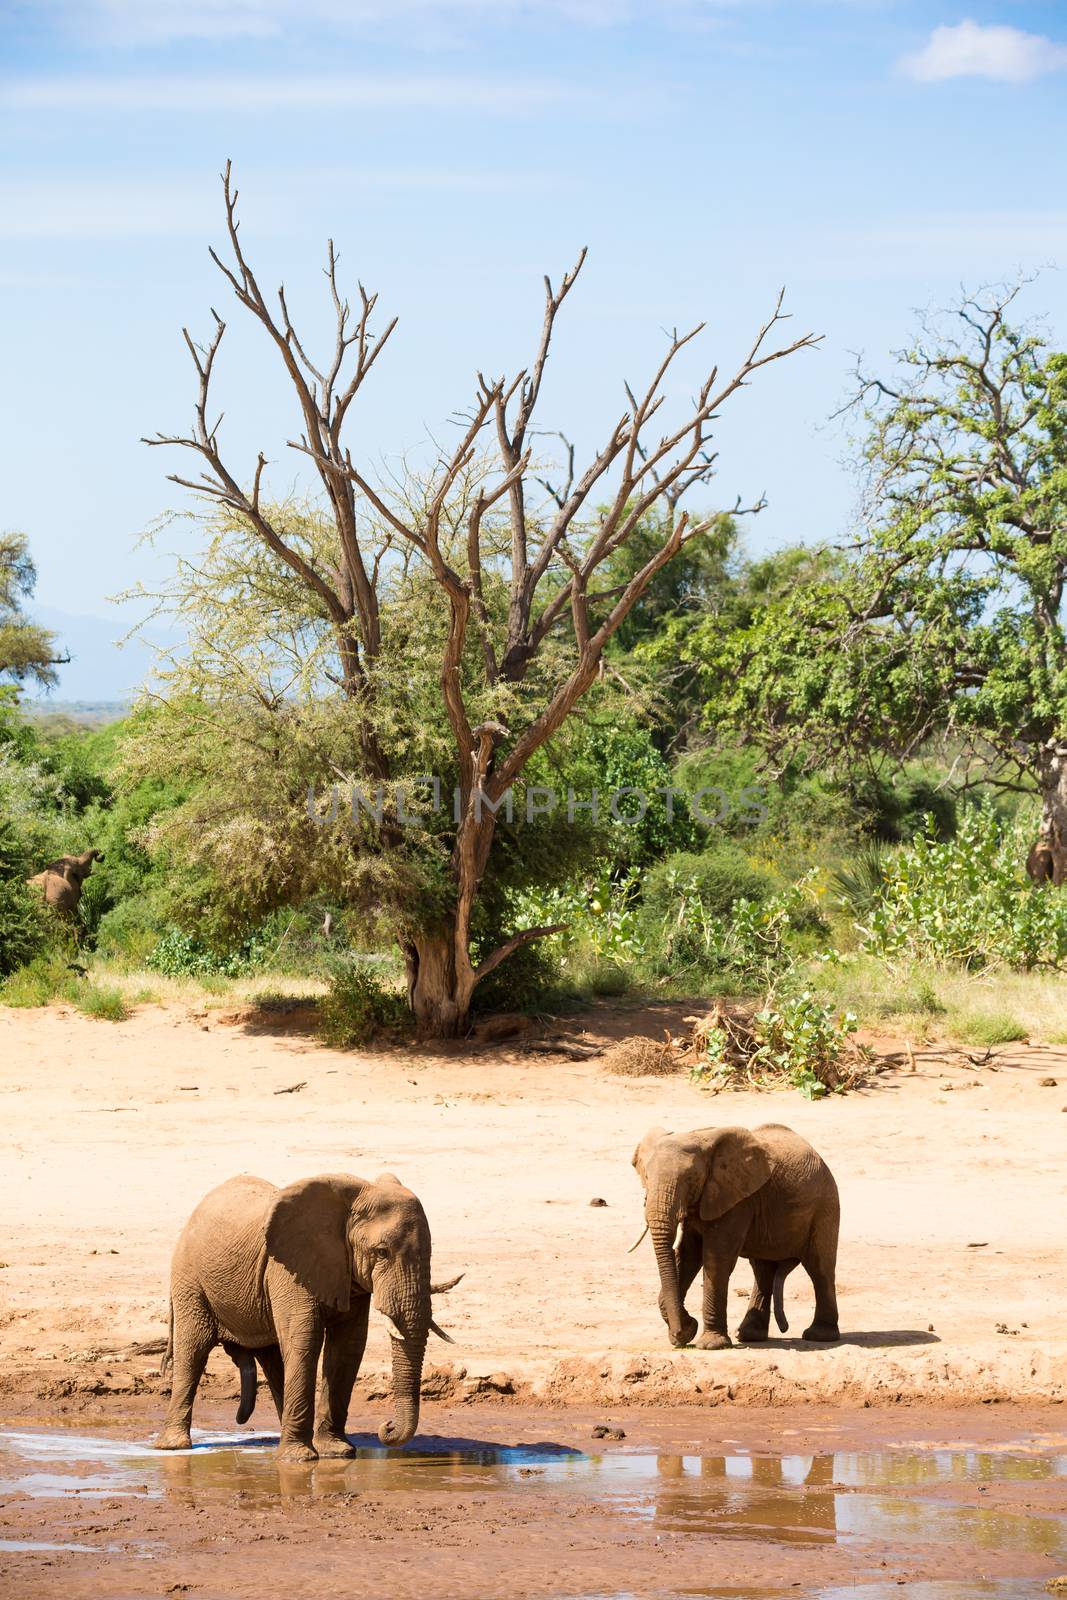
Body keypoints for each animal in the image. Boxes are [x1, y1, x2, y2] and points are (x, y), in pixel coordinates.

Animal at [157, 1164, 460, 1465]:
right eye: (382, 1252)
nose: (386, 1426)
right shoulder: (289, 1269)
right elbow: (306, 1340)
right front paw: (299, 1459)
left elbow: (347, 1347)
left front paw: (336, 1452)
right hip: (189, 1279)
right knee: (193, 1350)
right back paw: (173, 1447)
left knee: (273, 1359)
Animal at [627, 1126, 844, 1350]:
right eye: (646, 1177)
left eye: (690, 1179)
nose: (678, 1334)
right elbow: (687, 1257)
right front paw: (688, 1330)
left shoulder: (737, 1200)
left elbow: (715, 1261)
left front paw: (710, 1344)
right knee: (762, 1269)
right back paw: (749, 1335)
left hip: (825, 1207)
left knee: (819, 1268)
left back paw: (819, 1335)